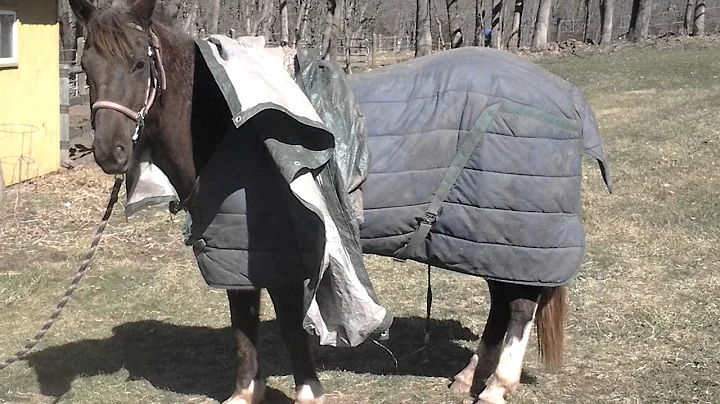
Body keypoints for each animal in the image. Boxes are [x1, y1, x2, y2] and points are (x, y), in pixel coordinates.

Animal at [66, 1, 608, 402]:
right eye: (86, 67)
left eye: (140, 63)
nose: (110, 153)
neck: (227, 128)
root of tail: (566, 96)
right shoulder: (235, 252)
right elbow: (245, 325)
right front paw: (245, 392)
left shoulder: (279, 250)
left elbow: (284, 324)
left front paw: (307, 391)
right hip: (493, 239)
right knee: (504, 304)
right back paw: (467, 379)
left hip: (515, 234)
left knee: (519, 307)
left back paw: (496, 387)